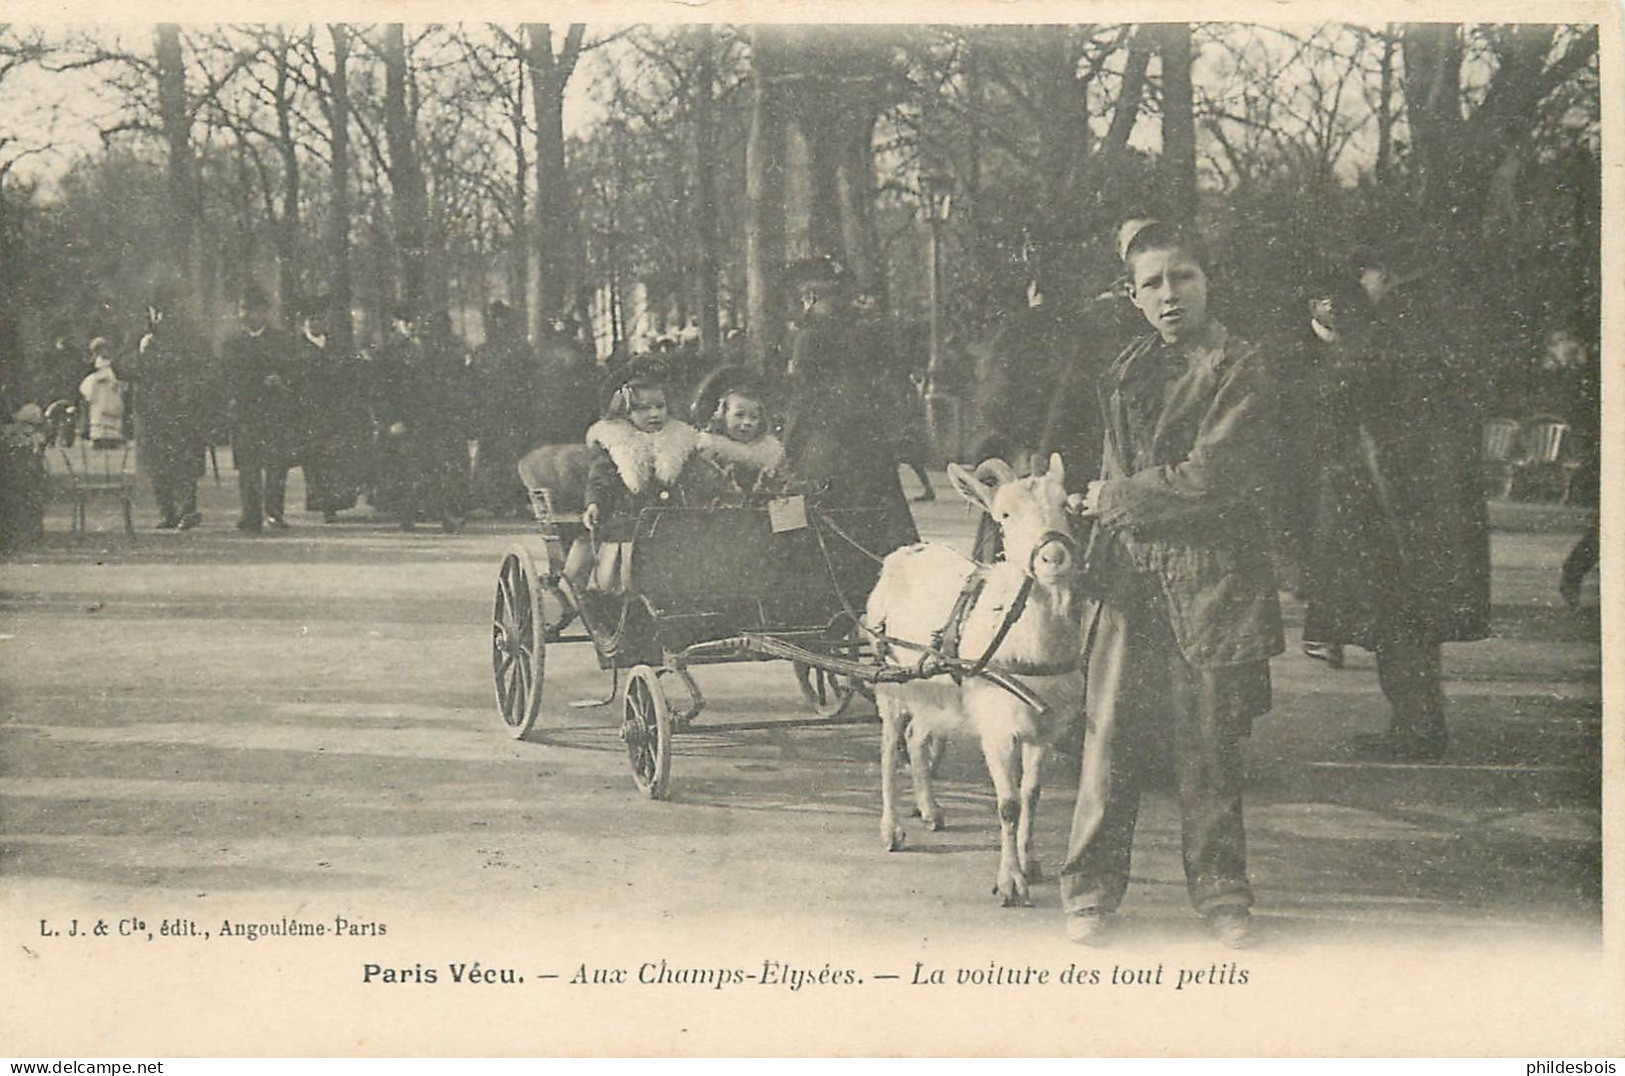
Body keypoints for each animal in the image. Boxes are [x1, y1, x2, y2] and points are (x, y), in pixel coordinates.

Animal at [871, 455, 1085, 910]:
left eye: (1067, 505)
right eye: (1004, 515)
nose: (1054, 558)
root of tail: (902, 554)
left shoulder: (1046, 729)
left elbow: (1032, 793)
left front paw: (1031, 862)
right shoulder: (998, 729)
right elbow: (1008, 804)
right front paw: (1010, 882)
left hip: (933, 689)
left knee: (917, 737)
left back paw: (931, 809)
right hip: (889, 681)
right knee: (889, 748)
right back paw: (892, 829)